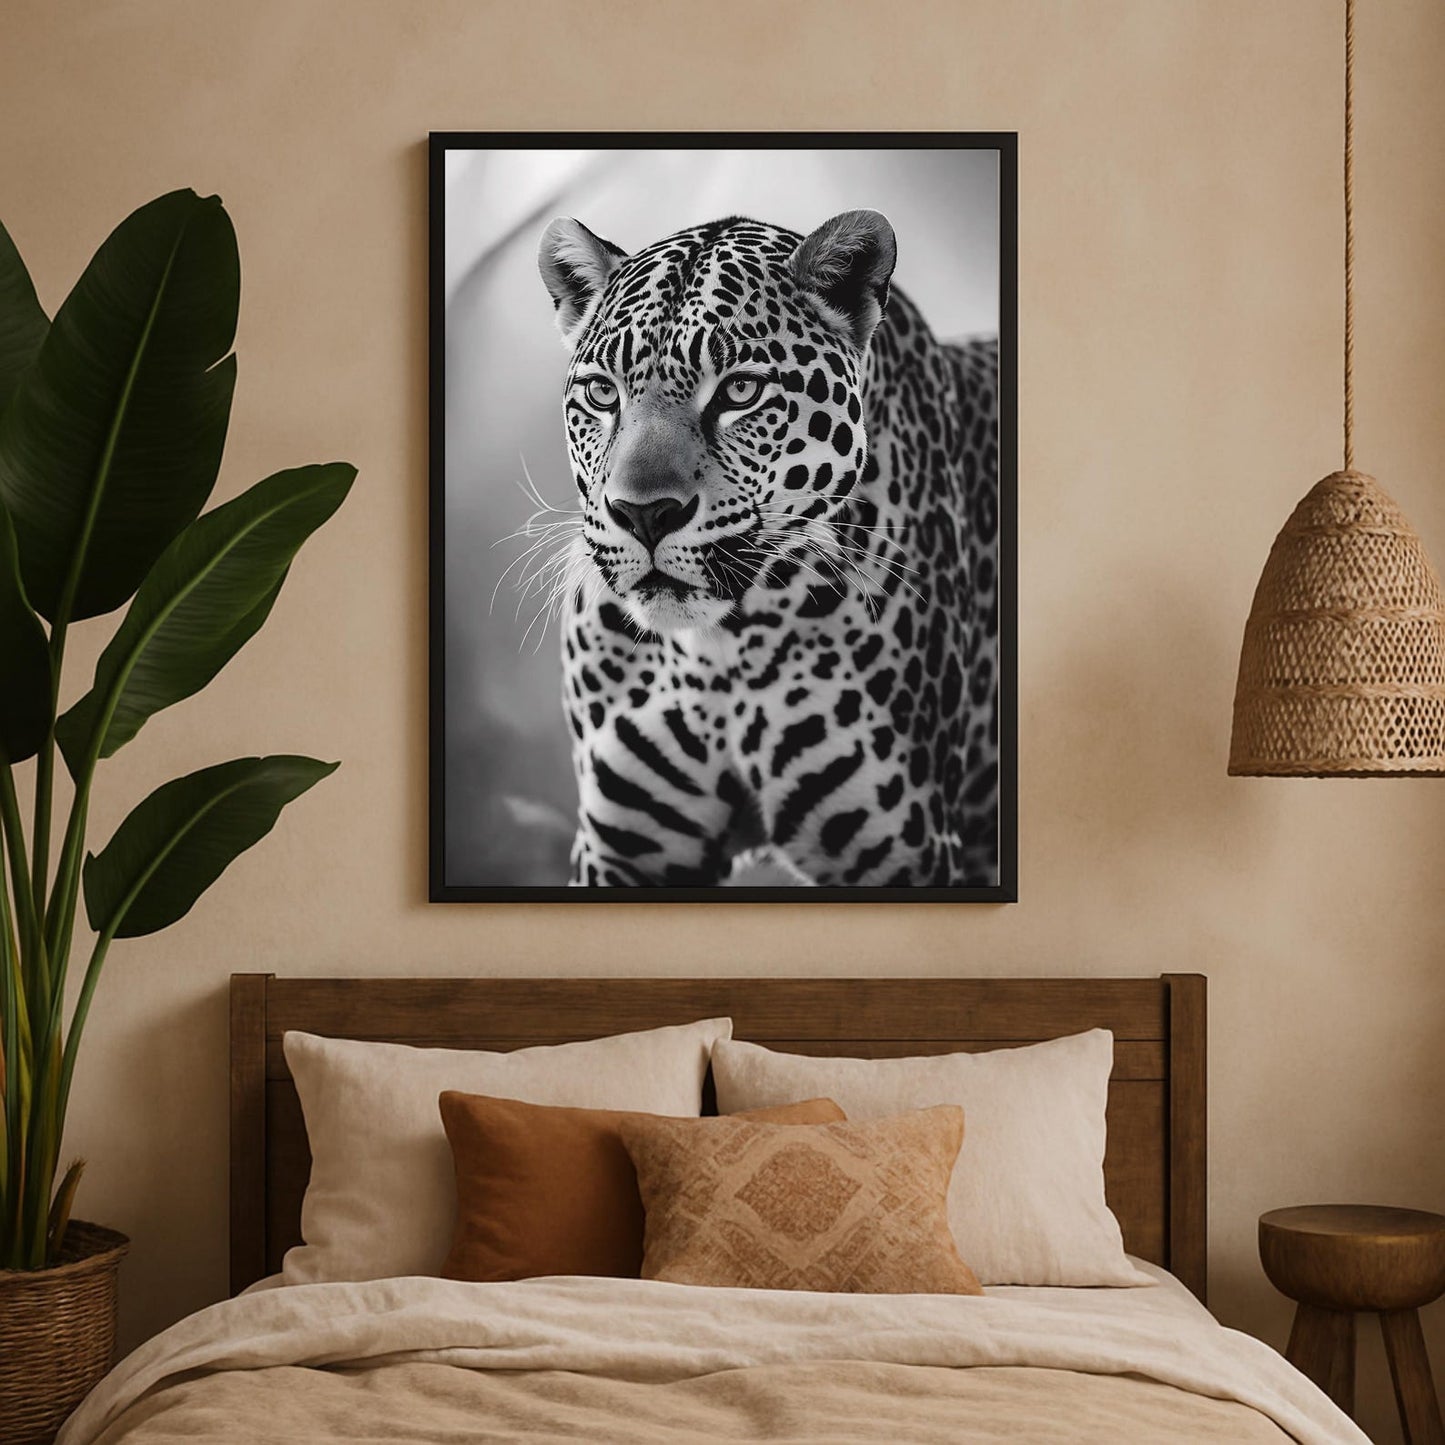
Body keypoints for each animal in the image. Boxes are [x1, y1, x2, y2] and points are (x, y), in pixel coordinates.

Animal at [534, 207, 999, 887]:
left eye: (740, 392)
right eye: (602, 394)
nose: (643, 514)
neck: (719, 650)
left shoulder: (905, 854)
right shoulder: (620, 853)